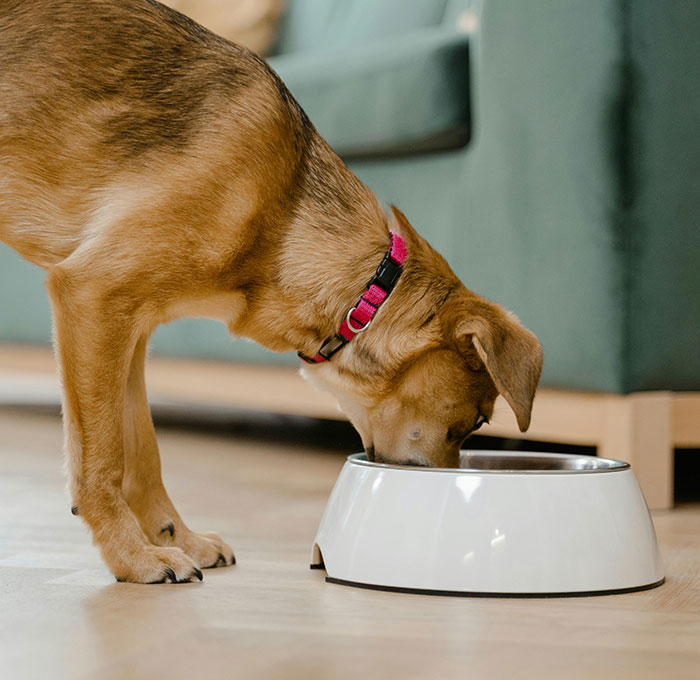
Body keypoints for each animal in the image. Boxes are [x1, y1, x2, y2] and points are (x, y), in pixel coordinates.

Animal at [0, 1, 544, 584]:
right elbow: (102, 459)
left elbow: (142, 453)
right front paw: (134, 558)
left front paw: (177, 539)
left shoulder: (128, 329)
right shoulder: (93, 296)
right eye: (478, 421)